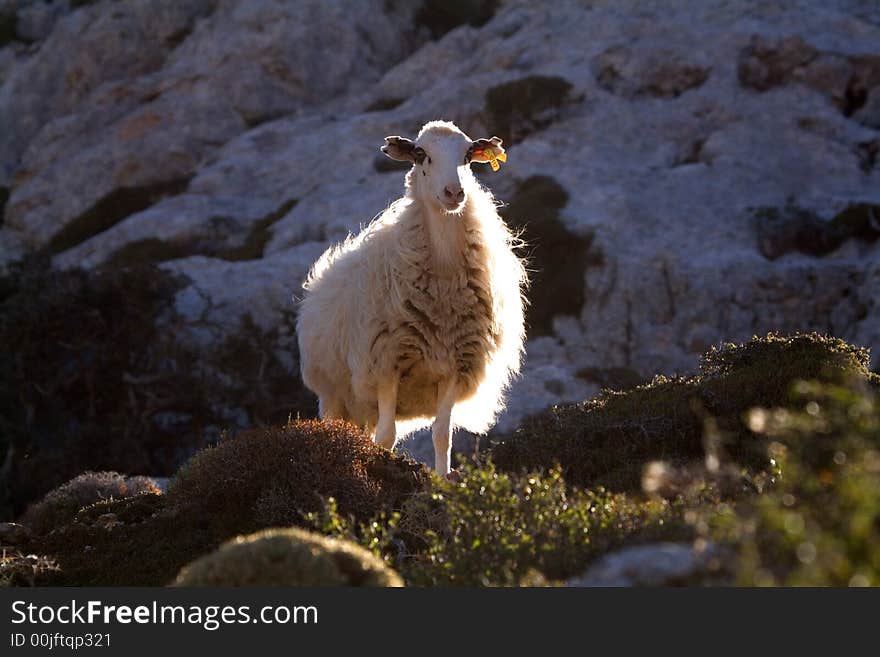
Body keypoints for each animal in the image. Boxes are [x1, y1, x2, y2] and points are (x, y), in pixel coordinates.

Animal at [296, 120, 528, 474]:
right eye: (421, 155)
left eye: (468, 155)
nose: (454, 193)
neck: (444, 277)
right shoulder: (386, 364)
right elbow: (387, 437)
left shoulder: (454, 367)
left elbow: (442, 435)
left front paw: (443, 479)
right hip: (334, 393)